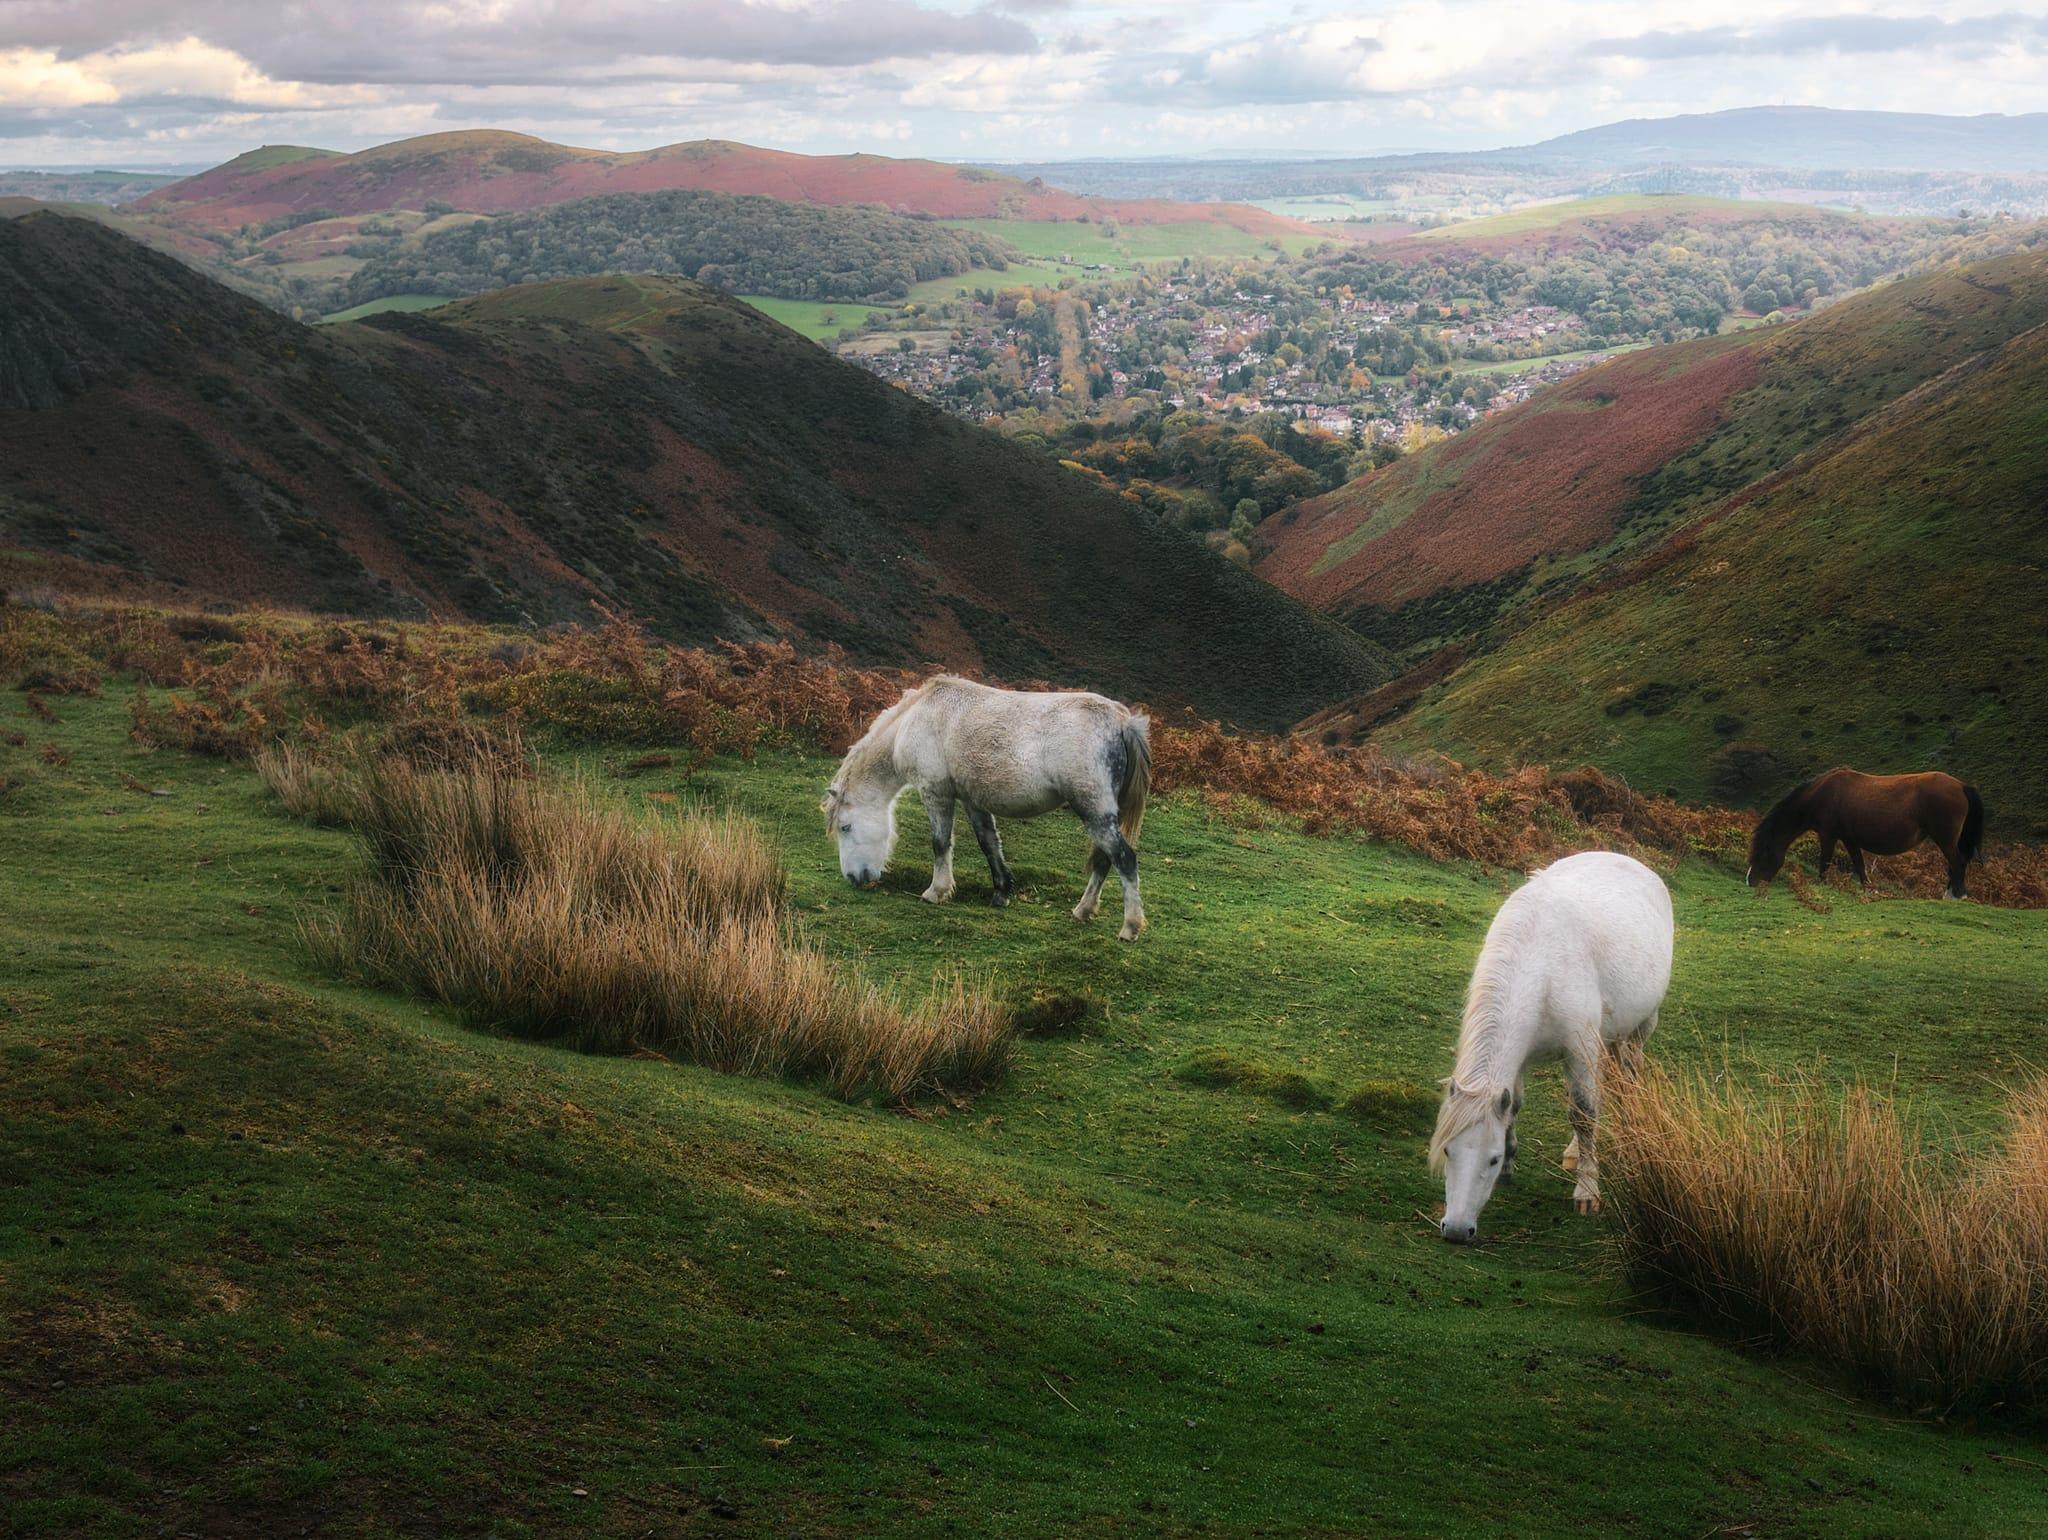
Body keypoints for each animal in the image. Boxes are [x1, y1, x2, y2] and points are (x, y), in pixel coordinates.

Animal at [824, 676, 1151, 941]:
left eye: (845, 827)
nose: (853, 878)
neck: (916, 719)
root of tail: (1122, 722)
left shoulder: (936, 793)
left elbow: (940, 843)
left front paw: (937, 892)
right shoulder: (972, 800)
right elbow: (989, 844)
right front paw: (1001, 891)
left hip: (1094, 811)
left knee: (1124, 859)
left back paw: (1130, 927)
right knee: (1104, 860)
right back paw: (1083, 910)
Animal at [1430, 851, 1673, 1244]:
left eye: (1490, 1158)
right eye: (1448, 1150)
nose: (1455, 1230)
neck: (1538, 967)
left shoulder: (1579, 1049)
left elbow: (1584, 1112)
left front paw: (1587, 1191)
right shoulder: (1520, 1058)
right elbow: (1516, 1106)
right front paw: (1513, 1166)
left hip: (1640, 1028)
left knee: (1627, 1080)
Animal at [1747, 768, 1984, 899]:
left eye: (1762, 855)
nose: (1750, 881)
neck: (1821, 795)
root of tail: (1962, 785)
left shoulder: (1828, 836)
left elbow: (1825, 862)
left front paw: (1822, 884)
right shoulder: (1849, 839)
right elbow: (1859, 865)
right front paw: (1870, 890)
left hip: (1945, 840)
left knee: (1957, 863)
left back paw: (1955, 895)